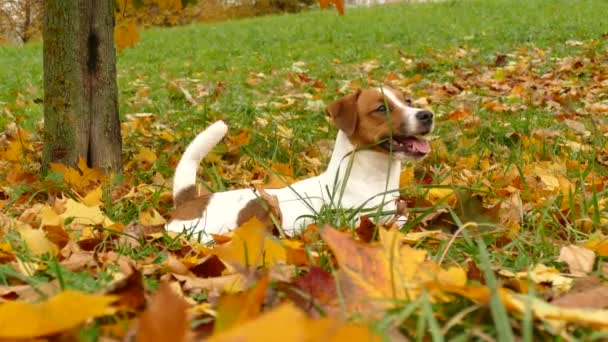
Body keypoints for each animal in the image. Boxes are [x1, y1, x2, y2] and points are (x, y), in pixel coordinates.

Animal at [166, 86, 432, 240]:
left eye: (408, 101)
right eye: (381, 108)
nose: (427, 115)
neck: (370, 180)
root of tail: (190, 200)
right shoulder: (354, 220)